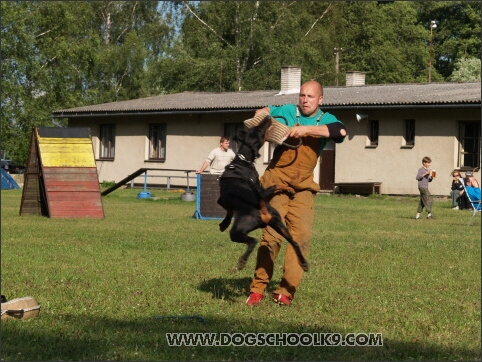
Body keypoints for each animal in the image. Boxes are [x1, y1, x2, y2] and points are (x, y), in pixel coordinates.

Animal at [216, 116, 308, 272]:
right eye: (258, 129)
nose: (268, 117)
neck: (242, 161)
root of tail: (263, 210)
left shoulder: (222, 200)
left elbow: (228, 210)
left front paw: (224, 223)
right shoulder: (263, 192)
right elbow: (276, 185)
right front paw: (289, 189)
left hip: (238, 230)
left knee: (253, 241)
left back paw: (242, 261)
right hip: (278, 224)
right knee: (294, 242)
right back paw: (303, 263)